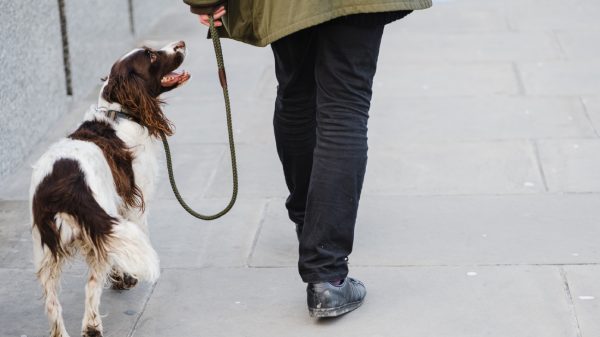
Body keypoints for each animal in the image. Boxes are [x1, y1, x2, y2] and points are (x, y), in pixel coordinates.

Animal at [29, 40, 190, 336]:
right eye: (150, 56)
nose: (181, 43)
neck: (121, 112)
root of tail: (63, 188)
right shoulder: (133, 202)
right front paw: (126, 277)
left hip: (46, 250)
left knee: (52, 303)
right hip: (97, 221)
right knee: (91, 285)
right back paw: (92, 326)